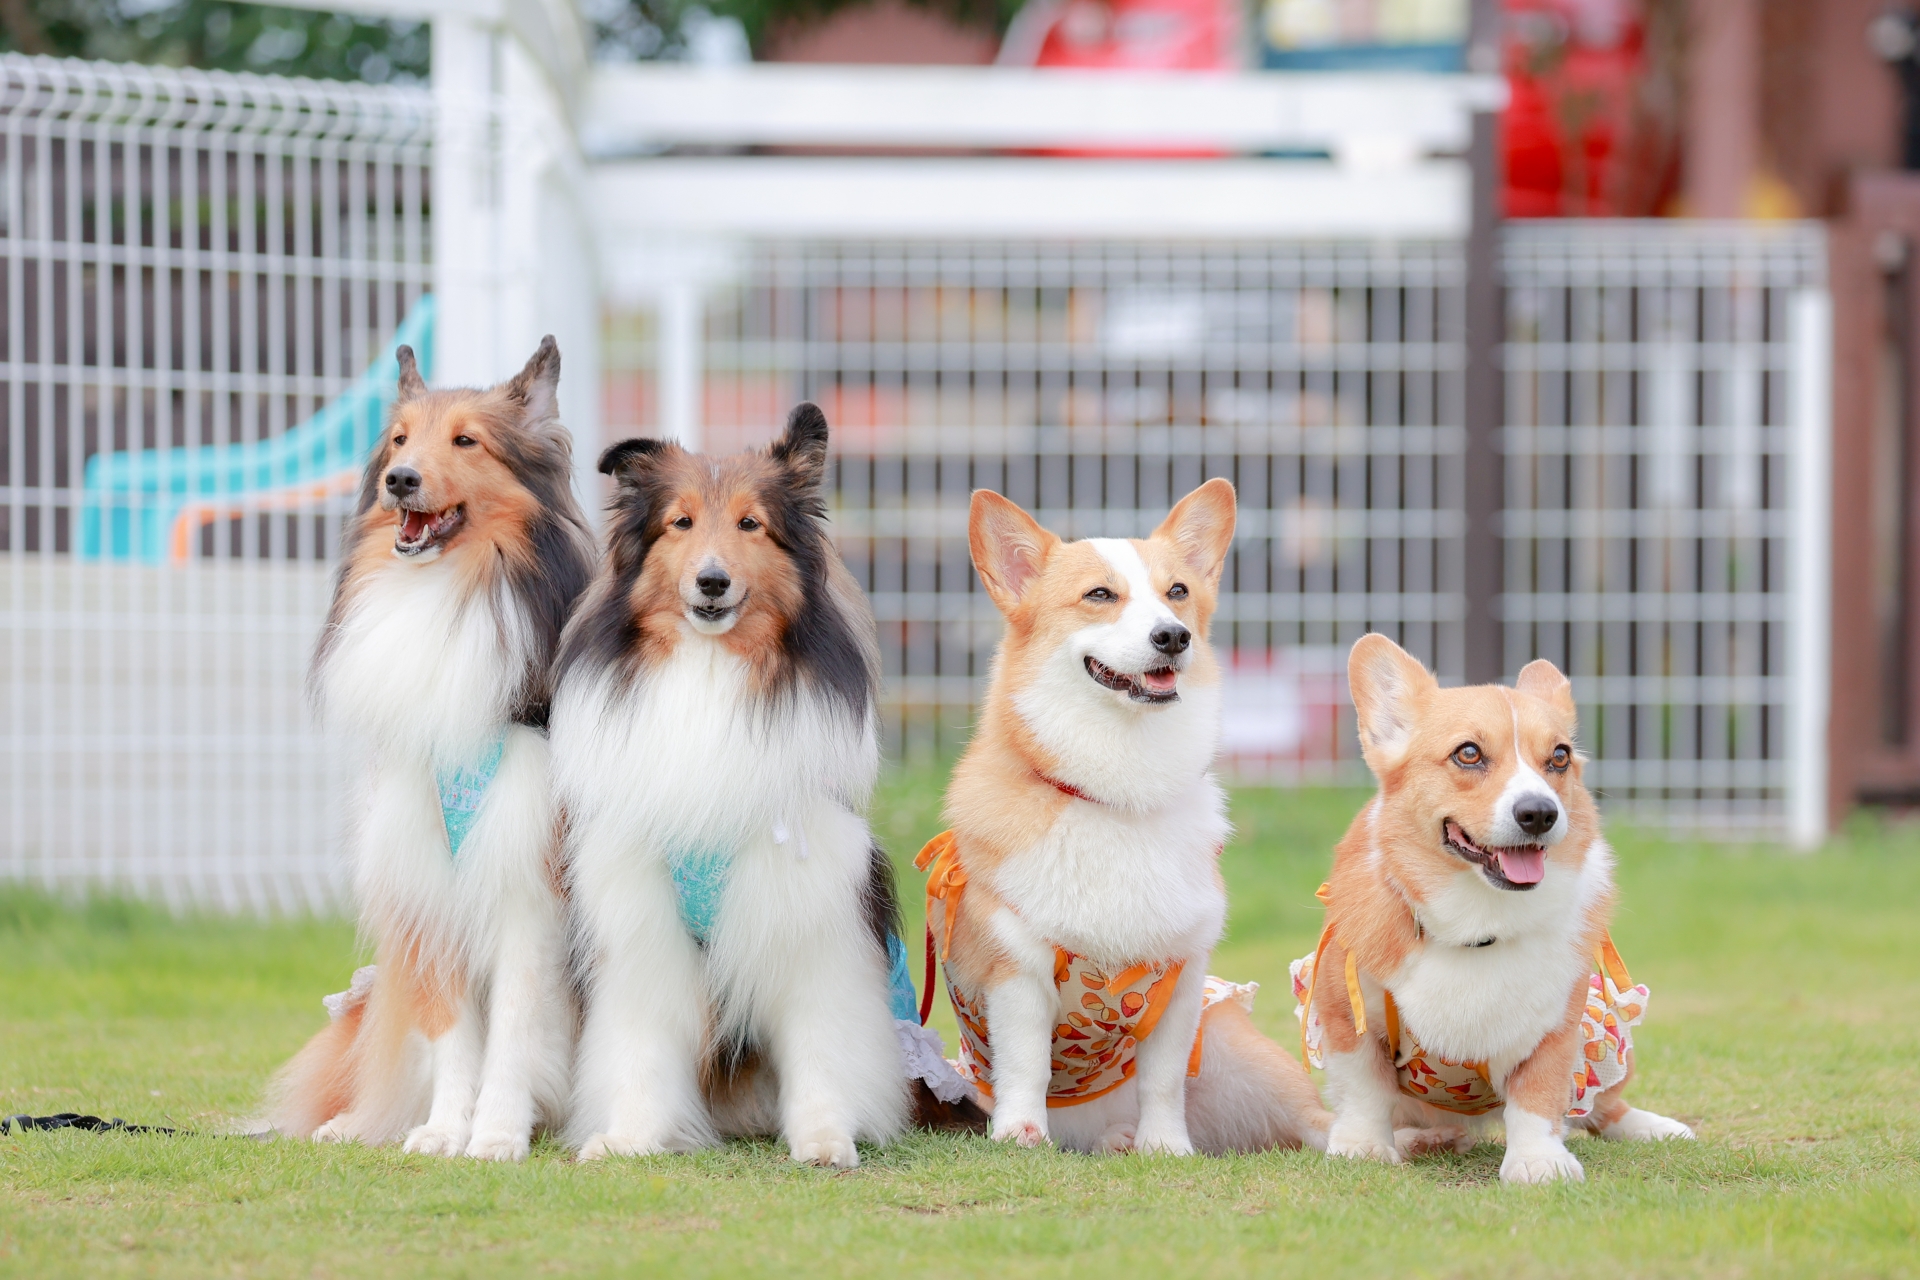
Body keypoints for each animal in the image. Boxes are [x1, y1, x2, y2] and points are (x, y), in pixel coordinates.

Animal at [264, 337, 591, 1159]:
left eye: (466, 441)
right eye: (399, 440)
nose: (400, 481)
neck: (448, 594)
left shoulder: (528, 889)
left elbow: (512, 1028)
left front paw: (497, 1132)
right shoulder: (425, 884)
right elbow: (450, 1032)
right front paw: (447, 1128)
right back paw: (354, 1124)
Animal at [552, 402, 910, 1174]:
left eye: (751, 524)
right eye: (679, 523)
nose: (711, 583)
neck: (713, 671)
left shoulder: (810, 909)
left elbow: (820, 1038)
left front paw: (825, 1137)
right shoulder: (639, 914)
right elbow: (640, 1040)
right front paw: (630, 1136)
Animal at [913, 483, 1336, 1159]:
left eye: (1178, 592)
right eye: (1099, 595)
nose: (1173, 637)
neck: (1117, 793)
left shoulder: (1181, 981)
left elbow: (1163, 1079)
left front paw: (1167, 1146)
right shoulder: (1018, 970)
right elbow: (1027, 1064)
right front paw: (1021, 1132)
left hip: (1238, 1055)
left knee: (1312, 1120)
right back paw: (1115, 1139)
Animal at [1305, 637, 1697, 1189]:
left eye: (1559, 757)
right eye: (1468, 753)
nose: (1540, 813)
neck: (1476, 923)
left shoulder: (1556, 1025)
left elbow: (1538, 1098)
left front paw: (1538, 1162)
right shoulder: (1344, 1013)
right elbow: (1364, 1089)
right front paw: (1363, 1146)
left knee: (1601, 1107)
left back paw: (1653, 1127)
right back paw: (1425, 1138)